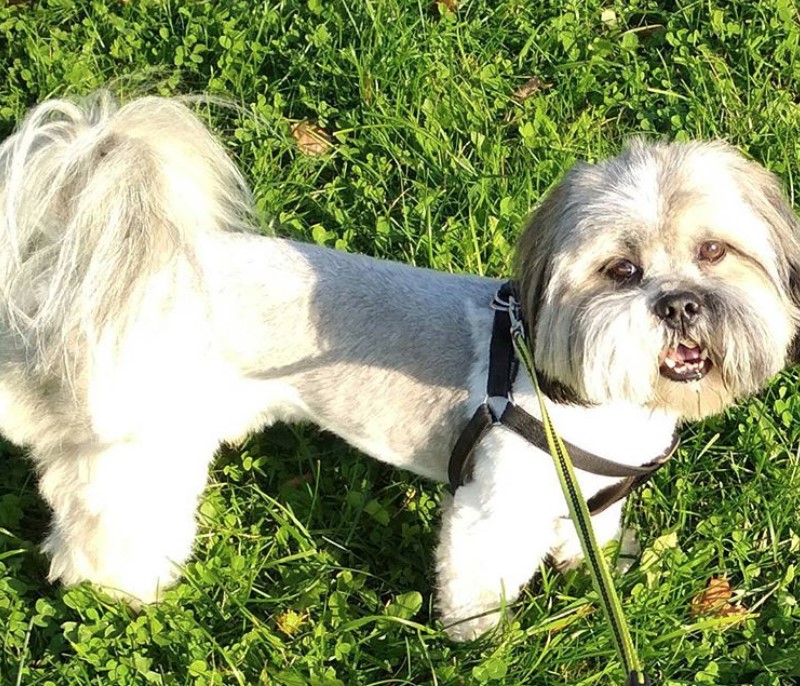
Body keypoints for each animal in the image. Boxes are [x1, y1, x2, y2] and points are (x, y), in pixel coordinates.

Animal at [0, 92, 796, 644]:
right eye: (621, 271)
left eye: (715, 252)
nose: (681, 304)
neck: (591, 399)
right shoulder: (491, 509)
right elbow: (479, 586)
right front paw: (483, 645)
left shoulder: (590, 500)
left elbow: (588, 543)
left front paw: (592, 573)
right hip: (136, 456)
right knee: (98, 536)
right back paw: (121, 594)